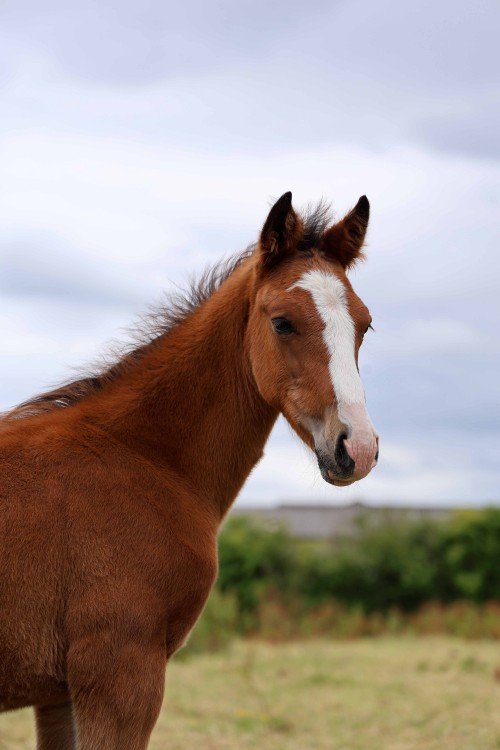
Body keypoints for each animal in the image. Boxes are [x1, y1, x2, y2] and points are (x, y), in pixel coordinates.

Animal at [0, 191, 378, 748]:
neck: (145, 459)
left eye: (365, 324)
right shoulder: (119, 671)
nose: (359, 447)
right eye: (282, 322)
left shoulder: (57, 692)